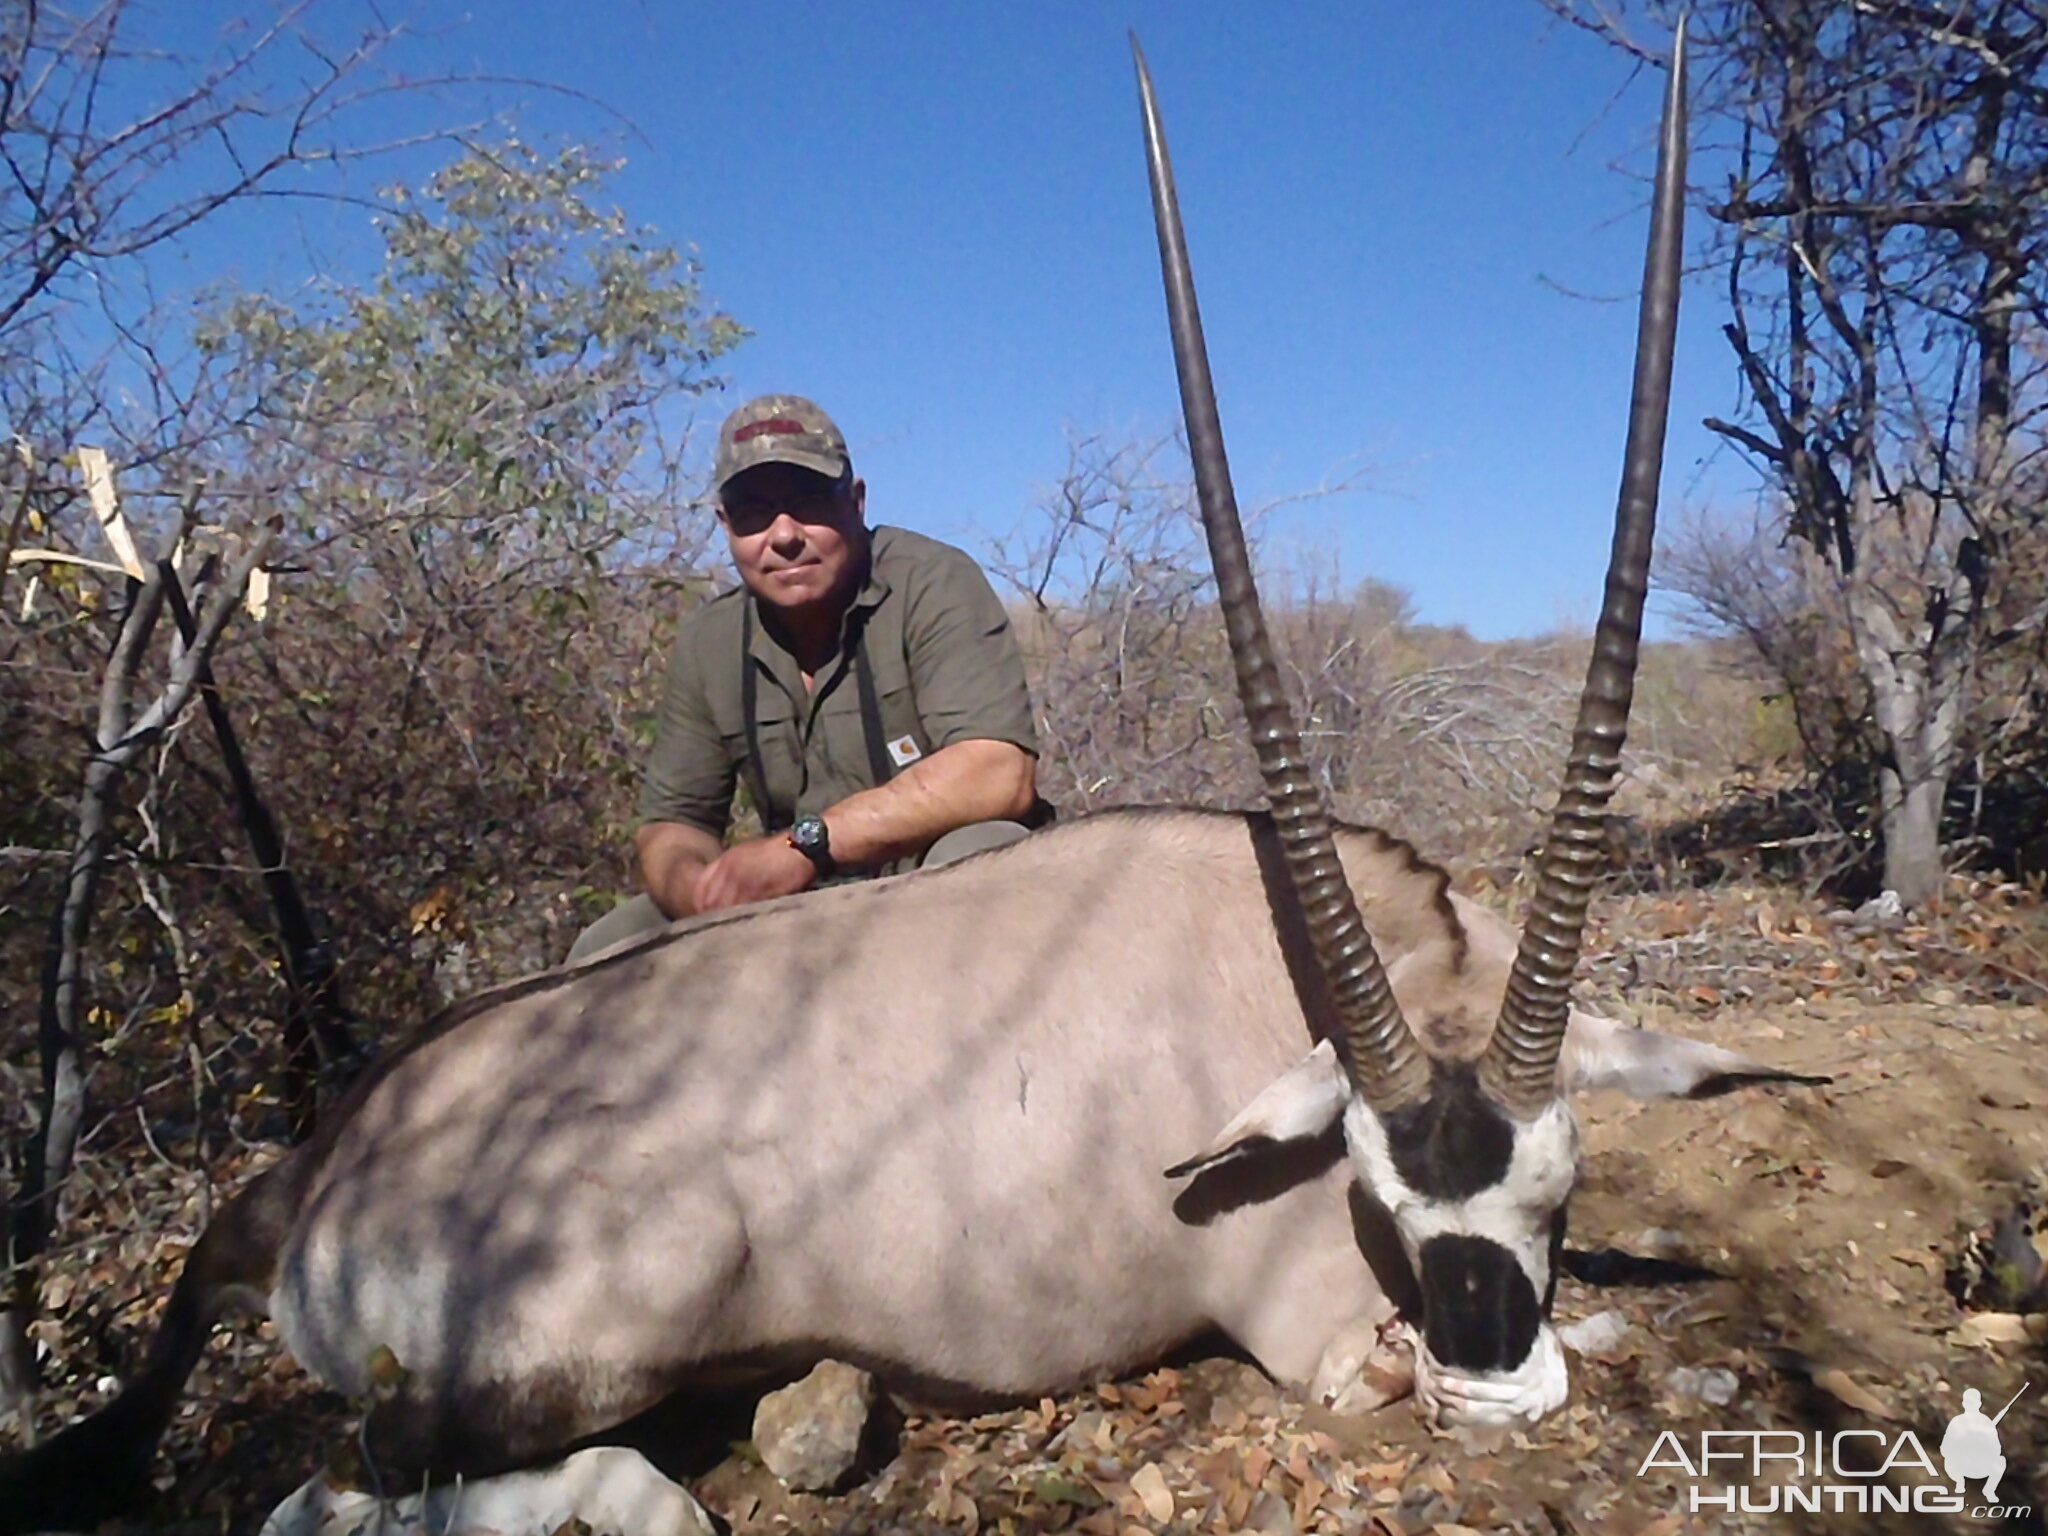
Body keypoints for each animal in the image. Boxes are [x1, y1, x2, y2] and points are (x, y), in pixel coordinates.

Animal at [0, 27, 1810, 1536]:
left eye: (1559, 1181)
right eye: (1371, 1185)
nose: (1490, 1388)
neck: (1263, 949)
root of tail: (317, 1170)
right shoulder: (1314, 1331)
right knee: (348, 1494)